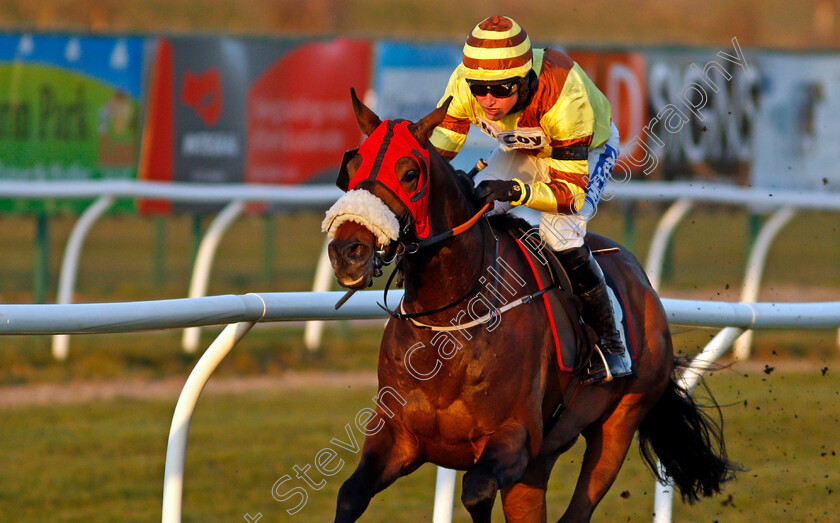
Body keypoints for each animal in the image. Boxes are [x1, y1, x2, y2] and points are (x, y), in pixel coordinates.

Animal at [324, 92, 732, 520]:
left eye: (409, 173)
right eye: (351, 166)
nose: (348, 251)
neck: (451, 322)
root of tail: (643, 282)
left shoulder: (514, 439)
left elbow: (475, 491)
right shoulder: (397, 435)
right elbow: (350, 495)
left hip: (619, 423)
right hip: (541, 462)